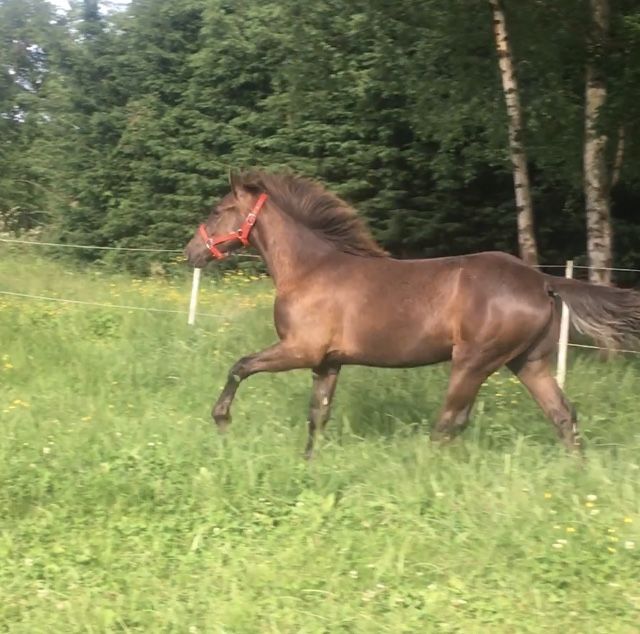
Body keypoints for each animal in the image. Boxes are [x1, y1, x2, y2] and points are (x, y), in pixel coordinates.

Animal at [184, 170, 640, 458]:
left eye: (217, 210)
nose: (191, 253)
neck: (310, 268)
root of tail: (541, 280)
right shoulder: (327, 362)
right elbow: (318, 416)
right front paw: (308, 462)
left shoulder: (300, 349)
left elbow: (240, 366)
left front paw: (221, 421)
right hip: (528, 362)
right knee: (562, 415)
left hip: (474, 362)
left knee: (450, 422)